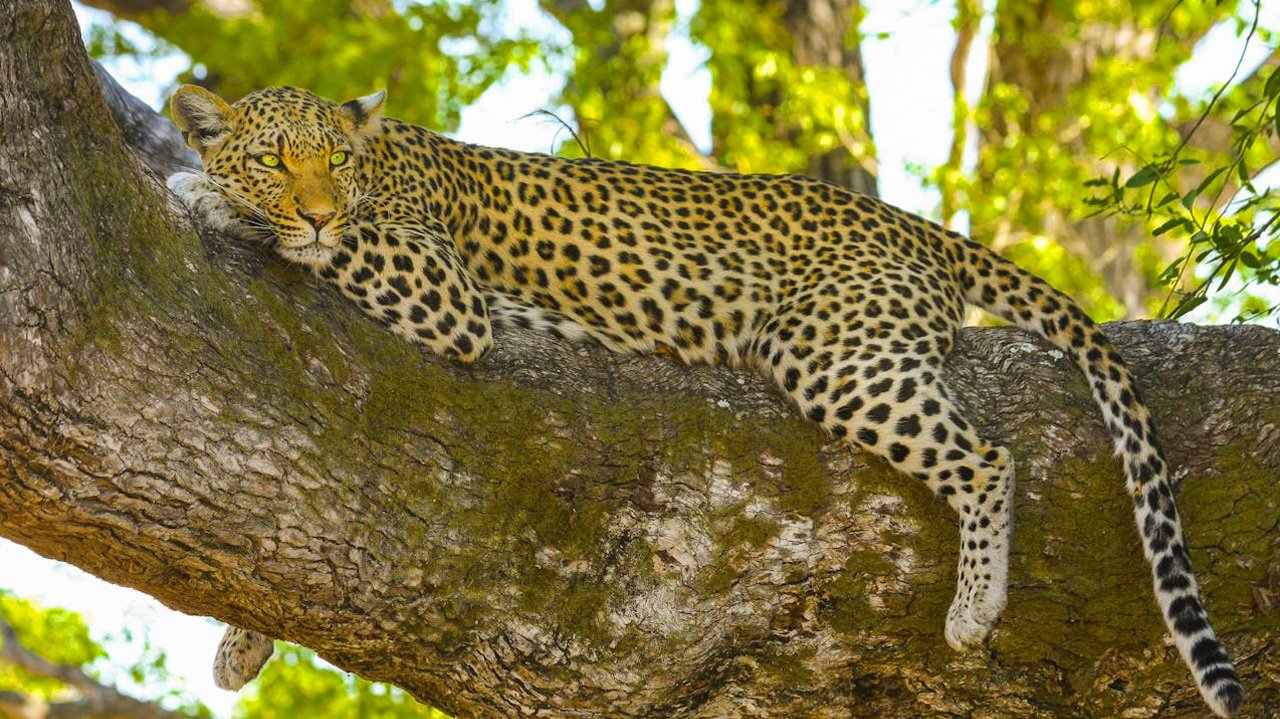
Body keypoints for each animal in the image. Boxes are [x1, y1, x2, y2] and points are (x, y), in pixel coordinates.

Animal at [165, 82, 1244, 711]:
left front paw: (204, 193)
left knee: (986, 457)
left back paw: (975, 606)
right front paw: (241, 641)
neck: (383, 159)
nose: (313, 204)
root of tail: (911, 223)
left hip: (833, 351)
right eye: (276, 156)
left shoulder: (442, 288)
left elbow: (340, 242)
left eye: (334, 162)